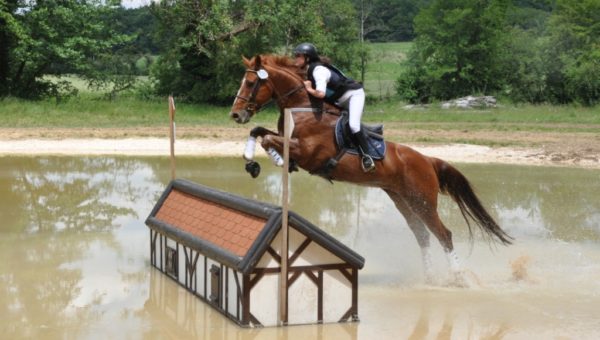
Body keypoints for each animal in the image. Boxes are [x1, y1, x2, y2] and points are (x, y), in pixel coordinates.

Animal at [230, 54, 510, 284]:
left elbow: (268, 139)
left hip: (423, 201)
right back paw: (431, 278)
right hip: (404, 200)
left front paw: (277, 161)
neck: (303, 107)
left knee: (444, 234)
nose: (235, 115)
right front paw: (252, 161)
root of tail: (427, 160)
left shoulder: (308, 152)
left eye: (251, 83)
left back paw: (458, 279)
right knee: (422, 235)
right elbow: (258, 132)